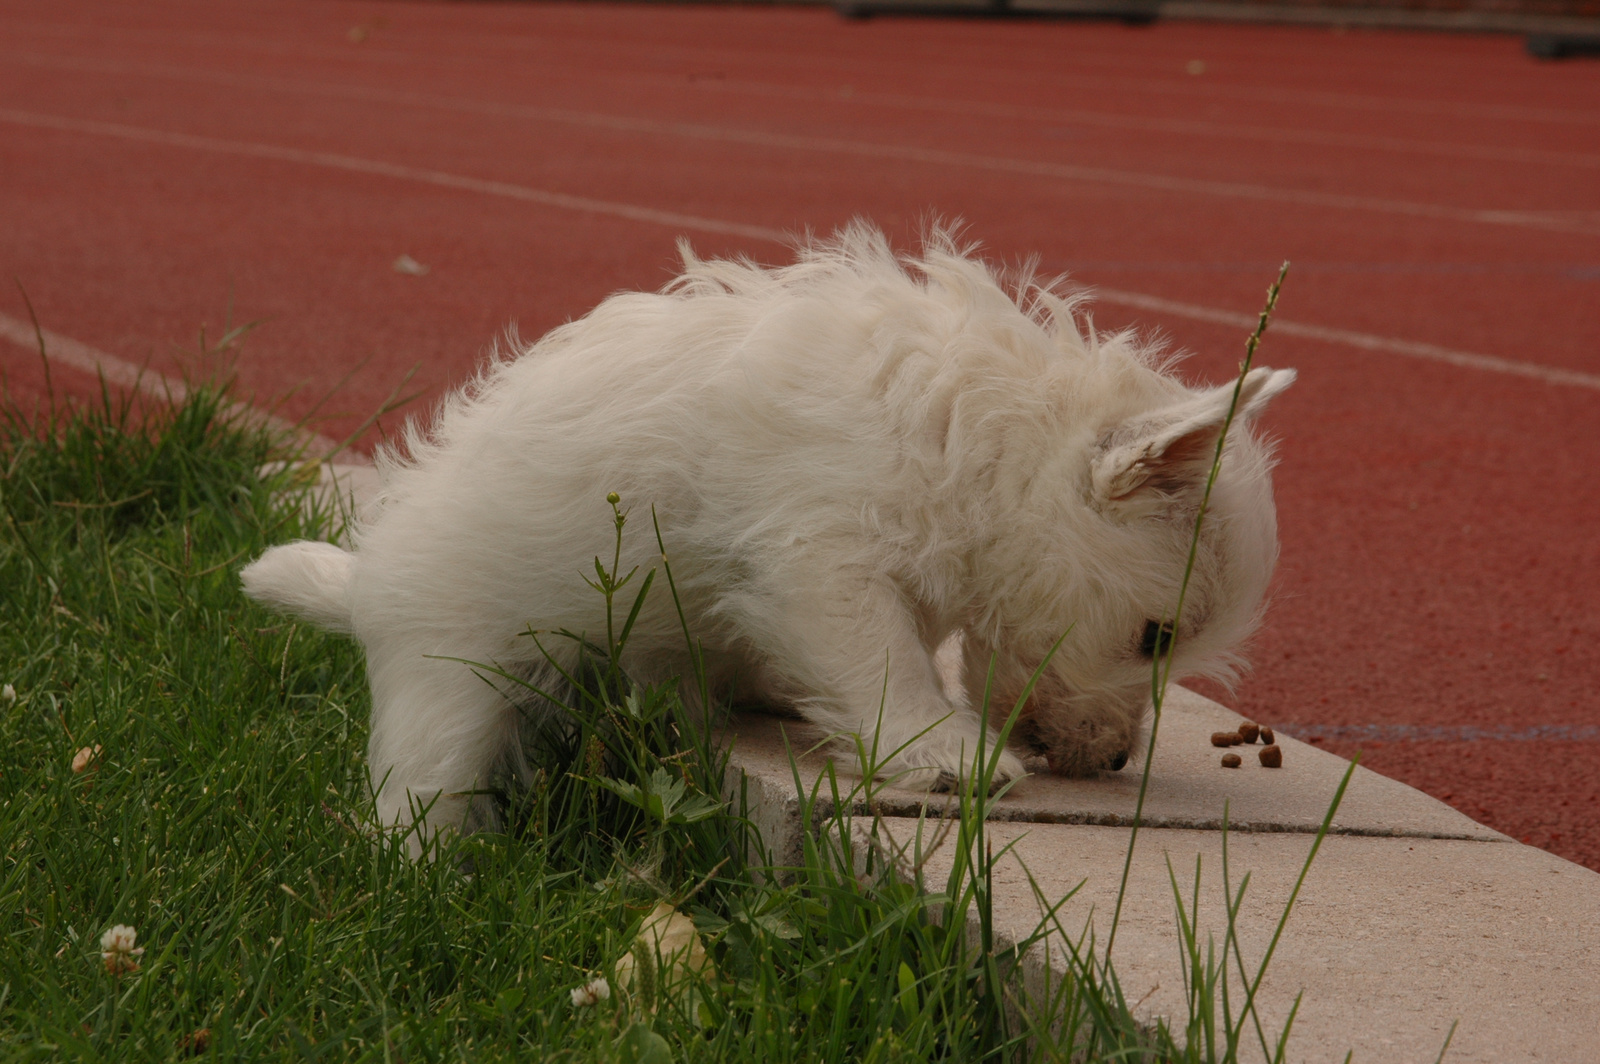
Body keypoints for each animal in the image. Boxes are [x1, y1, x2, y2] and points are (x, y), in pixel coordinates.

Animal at [240, 224, 1299, 844]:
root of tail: (368, 581)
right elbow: (887, 666)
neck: (981, 437)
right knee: (421, 792)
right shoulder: (824, 561)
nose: (1115, 759)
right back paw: (423, 880)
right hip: (447, 687)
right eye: (1155, 638)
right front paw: (944, 755)